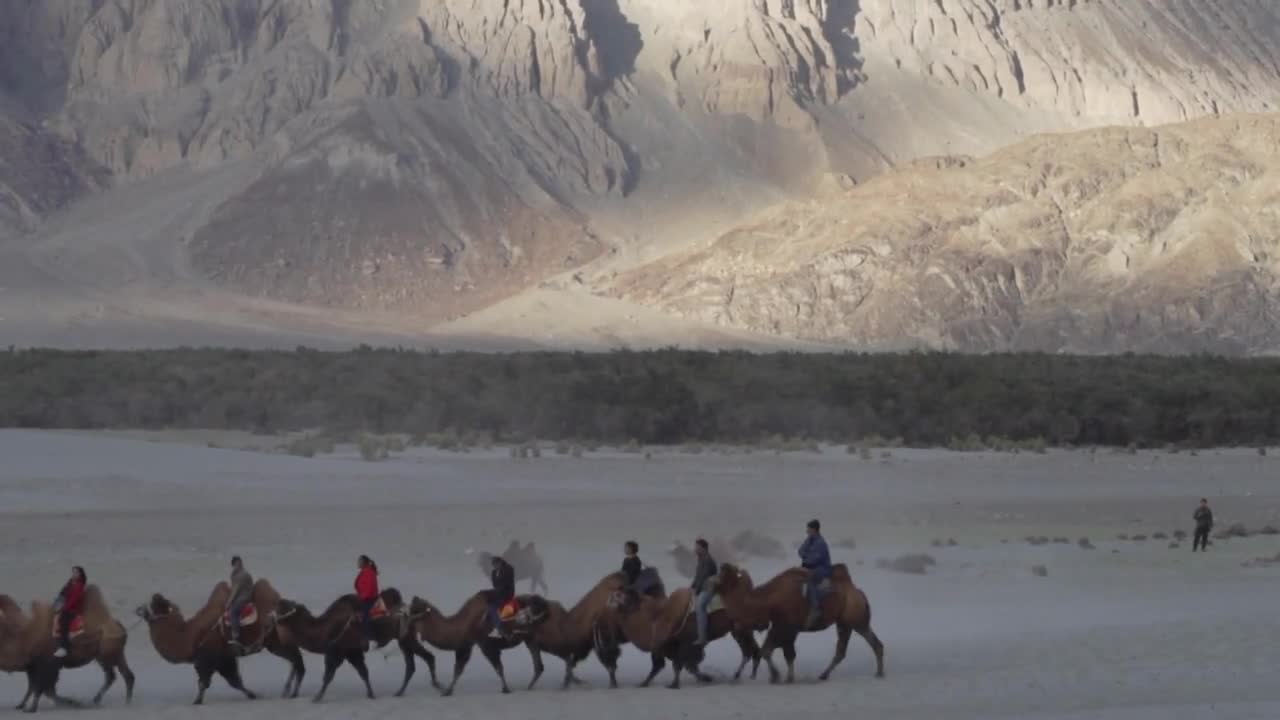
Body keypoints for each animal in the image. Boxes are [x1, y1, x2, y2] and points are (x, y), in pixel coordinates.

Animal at [0, 586, 133, 707]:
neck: (25, 637)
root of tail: (120, 627)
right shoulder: (33, 666)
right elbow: (36, 687)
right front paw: (21, 705)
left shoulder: (47, 664)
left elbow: (44, 689)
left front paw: (72, 702)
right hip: (111, 653)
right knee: (121, 675)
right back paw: (108, 700)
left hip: (107, 653)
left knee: (114, 675)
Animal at [135, 576, 304, 702]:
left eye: (155, 605)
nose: (138, 608)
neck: (188, 637)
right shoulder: (224, 660)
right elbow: (234, 681)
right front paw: (253, 694)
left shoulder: (208, 658)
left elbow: (206, 682)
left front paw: (197, 701)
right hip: (274, 642)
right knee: (294, 661)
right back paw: (287, 690)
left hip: (276, 641)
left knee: (296, 660)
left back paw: (291, 692)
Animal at [271, 586, 440, 696]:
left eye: (283, 606)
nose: (276, 603)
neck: (324, 629)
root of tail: (412, 610)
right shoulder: (351, 652)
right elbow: (363, 672)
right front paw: (371, 694)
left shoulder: (340, 650)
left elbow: (329, 675)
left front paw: (317, 697)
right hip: (404, 639)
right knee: (415, 664)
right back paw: (401, 691)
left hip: (406, 638)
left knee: (424, 659)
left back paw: (434, 685)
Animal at [409, 589, 550, 696]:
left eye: (414, 609)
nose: (414, 597)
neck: (463, 625)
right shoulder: (466, 645)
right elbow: (458, 669)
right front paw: (447, 691)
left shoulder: (483, 643)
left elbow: (498, 667)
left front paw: (506, 689)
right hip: (530, 639)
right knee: (538, 665)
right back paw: (529, 687)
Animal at [716, 561, 885, 681]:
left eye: (725, 574)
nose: (713, 580)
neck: (767, 600)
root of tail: (858, 592)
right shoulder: (782, 627)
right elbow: (776, 652)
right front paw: (780, 676)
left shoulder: (786, 627)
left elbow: (774, 652)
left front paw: (780, 677)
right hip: (845, 623)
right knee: (848, 649)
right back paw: (826, 675)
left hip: (855, 619)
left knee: (864, 644)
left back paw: (878, 673)